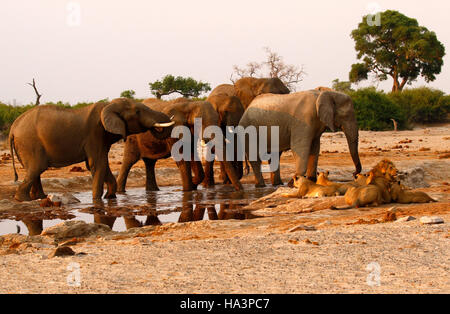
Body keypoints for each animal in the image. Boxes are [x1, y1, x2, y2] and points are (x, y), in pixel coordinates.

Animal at [8, 98, 175, 201]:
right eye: (138, 112)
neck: (108, 105)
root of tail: (13, 128)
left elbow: (102, 164)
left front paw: (110, 197)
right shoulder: (95, 134)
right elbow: (97, 164)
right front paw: (97, 199)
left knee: (34, 171)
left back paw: (40, 197)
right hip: (30, 143)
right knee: (36, 168)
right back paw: (24, 199)